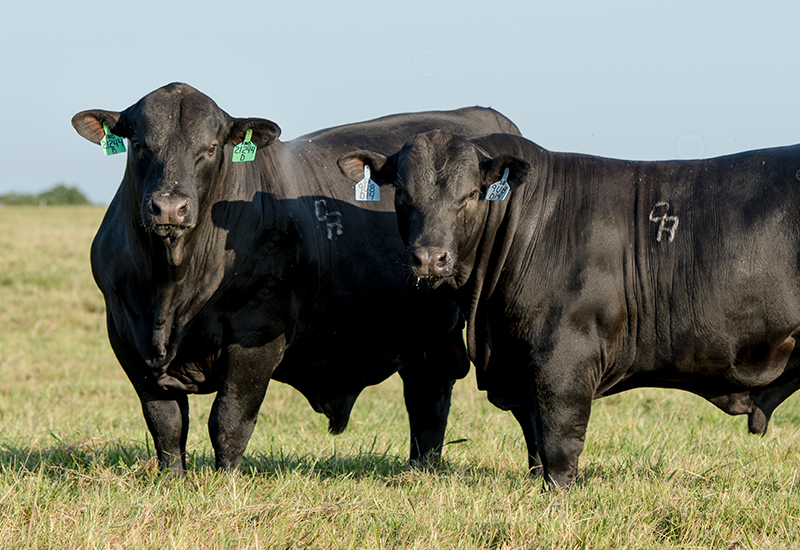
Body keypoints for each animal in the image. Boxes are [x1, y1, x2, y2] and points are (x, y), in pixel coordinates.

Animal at [71, 83, 521, 473]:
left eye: (211, 148)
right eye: (139, 145)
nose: (169, 207)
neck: (172, 286)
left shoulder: (257, 337)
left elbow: (229, 421)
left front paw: (224, 482)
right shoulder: (127, 337)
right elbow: (166, 424)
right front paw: (173, 480)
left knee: (431, 393)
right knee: (427, 393)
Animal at [338, 130, 800, 489]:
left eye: (469, 195)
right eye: (402, 193)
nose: (429, 258)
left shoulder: (565, 356)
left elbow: (559, 437)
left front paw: (558, 493)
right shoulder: (520, 361)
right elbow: (536, 437)